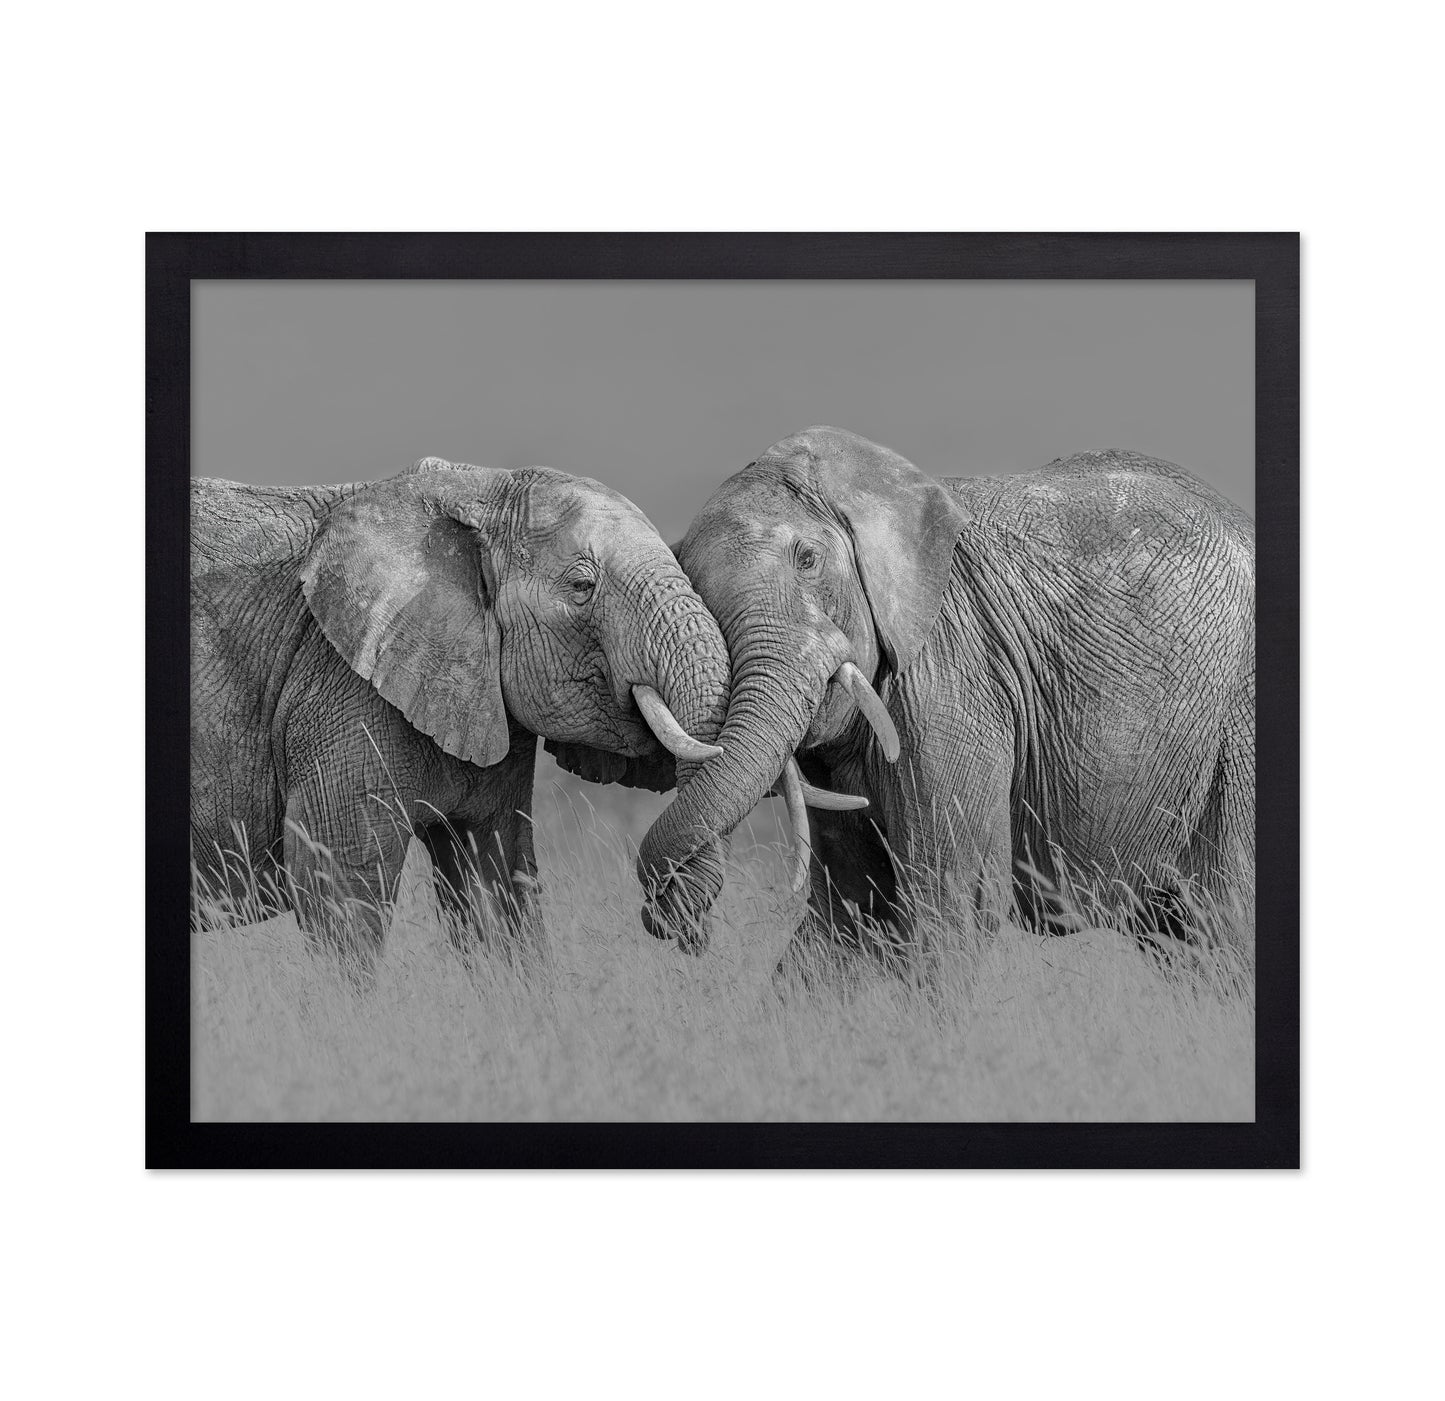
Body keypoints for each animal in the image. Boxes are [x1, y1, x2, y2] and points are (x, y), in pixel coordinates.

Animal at [191, 455, 730, 953]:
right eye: (582, 587)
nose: (677, 926)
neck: (475, 490)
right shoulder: (339, 689)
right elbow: (340, 888)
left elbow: (495, 886)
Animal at [626, 426, 1255, 960]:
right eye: (693, 585)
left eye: (807, 559)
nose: (685, 931)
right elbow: (847, 913)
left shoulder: (952, 672)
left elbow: (952, 902)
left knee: (1226, 923)